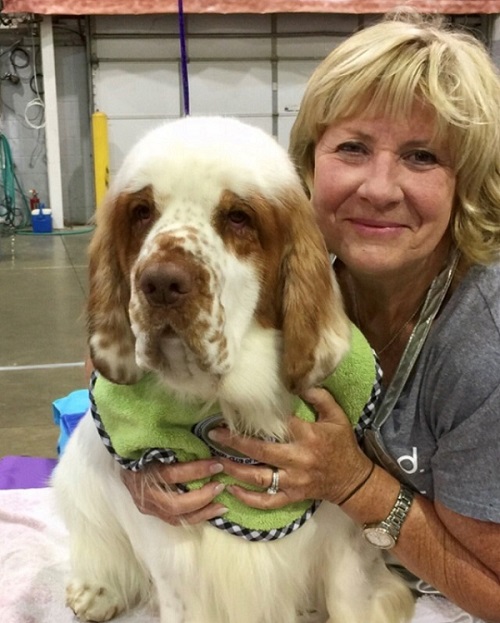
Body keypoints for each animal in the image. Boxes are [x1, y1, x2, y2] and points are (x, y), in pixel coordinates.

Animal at [51, 117, 414, 623]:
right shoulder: (171, 551)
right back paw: (96, 591)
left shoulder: (344, 540)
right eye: (141, 212)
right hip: (76, 474)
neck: (225, 400)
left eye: (239, 217)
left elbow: (350, 602)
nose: (161, 283)